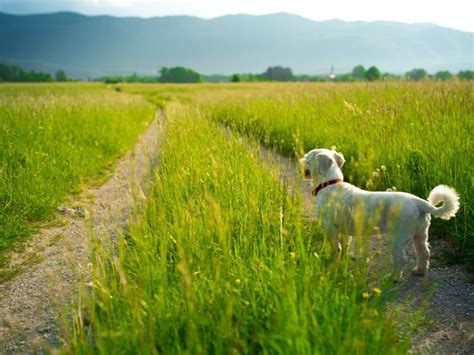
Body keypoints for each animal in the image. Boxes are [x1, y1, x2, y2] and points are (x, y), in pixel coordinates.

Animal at [300, 148, 460, 280]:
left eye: (307, 158)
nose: (300, 162)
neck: (330, 184)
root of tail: (419, 202)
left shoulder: (330, 228)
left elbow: (335, 248)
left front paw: (332, 262)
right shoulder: (343, 230)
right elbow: (344, 246)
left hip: (397, 238)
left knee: (401, 259)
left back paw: (393, 278)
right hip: (420, 235)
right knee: (424, 253)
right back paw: (419, 270)